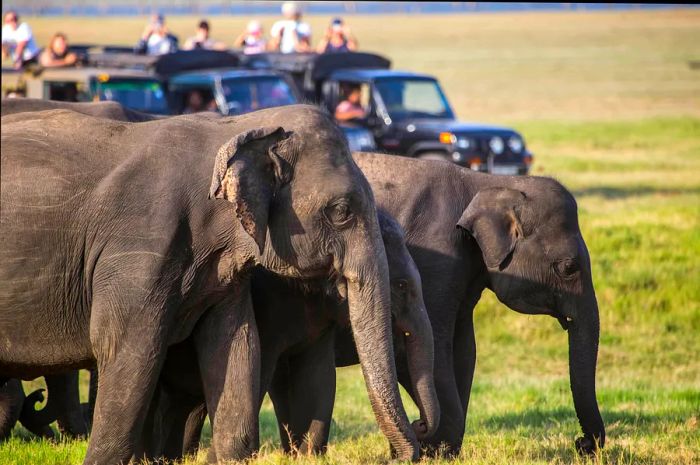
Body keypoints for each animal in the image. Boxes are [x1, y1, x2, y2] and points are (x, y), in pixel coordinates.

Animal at [142, 211, 438, 460]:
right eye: (401, 285)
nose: (419, 424)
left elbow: (319, 376)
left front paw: (307, 456)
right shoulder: (267, 305)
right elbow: (261, 372)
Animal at [326, 151, 604, 454]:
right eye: (568, 268)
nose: (581, 443)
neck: (488, 183)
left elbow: (465, 349)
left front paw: (441, 451)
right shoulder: (435, 259)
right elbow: (432, 347)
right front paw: (433, 450)